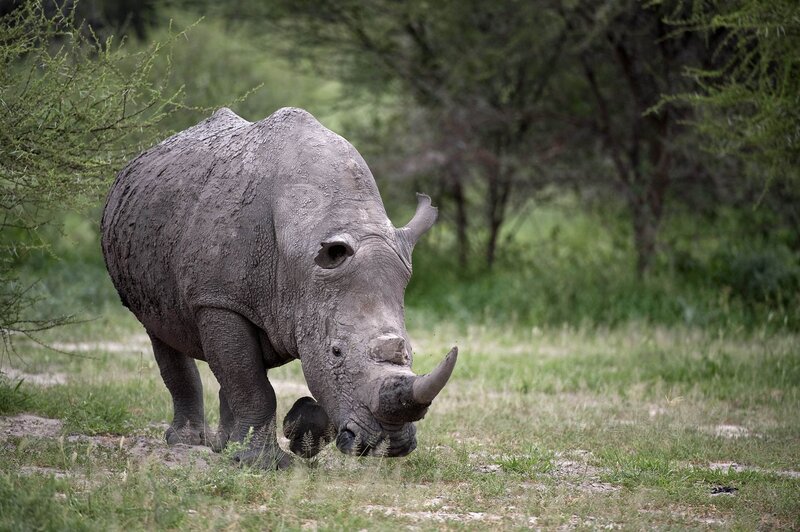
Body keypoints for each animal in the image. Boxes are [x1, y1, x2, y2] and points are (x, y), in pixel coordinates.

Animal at [101, 107, 457, 468]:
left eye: (410, 352)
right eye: (336, 351)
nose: (389, 445)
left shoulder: (306, 300)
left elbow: (260, 376)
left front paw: (299, 429)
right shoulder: (218, 299)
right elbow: (252, 384)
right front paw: (264, 464)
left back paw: (225, 447)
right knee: (163, 333)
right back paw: (188, 444)